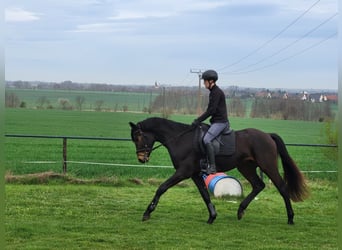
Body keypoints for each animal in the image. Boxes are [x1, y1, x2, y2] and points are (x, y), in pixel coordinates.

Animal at [129, 117, 310, 225]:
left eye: (138, 137)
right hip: (246, 167)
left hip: (268, 166)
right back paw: (240, 211)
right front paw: (212, 216)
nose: (141, 159)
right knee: (258, 185)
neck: (180, 139)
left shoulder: (183, 172)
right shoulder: (194, 174)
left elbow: (162, 188)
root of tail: (267, 135)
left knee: (282, 187)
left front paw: (147, 212)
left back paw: (290, 218)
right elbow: (204, 194)